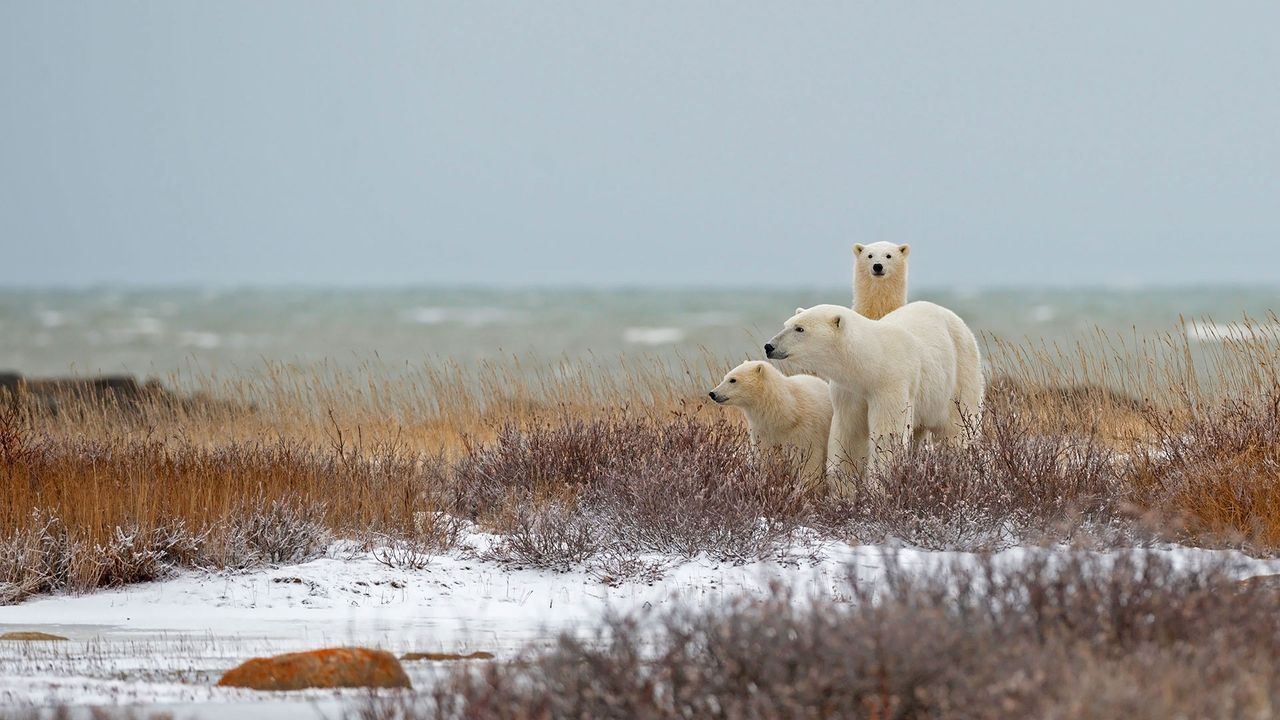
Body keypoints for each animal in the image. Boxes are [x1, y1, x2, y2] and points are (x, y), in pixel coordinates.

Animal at [764, 302, 983, 494]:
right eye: (787, 324)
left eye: (799, 329)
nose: (769, 346)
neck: (873, 363)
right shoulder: (849, 391)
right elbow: (849, 434)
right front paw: (843, 490)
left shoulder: (891, 383)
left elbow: (887, 436)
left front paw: (878, 487)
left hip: (959, 373)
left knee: (956, 431)